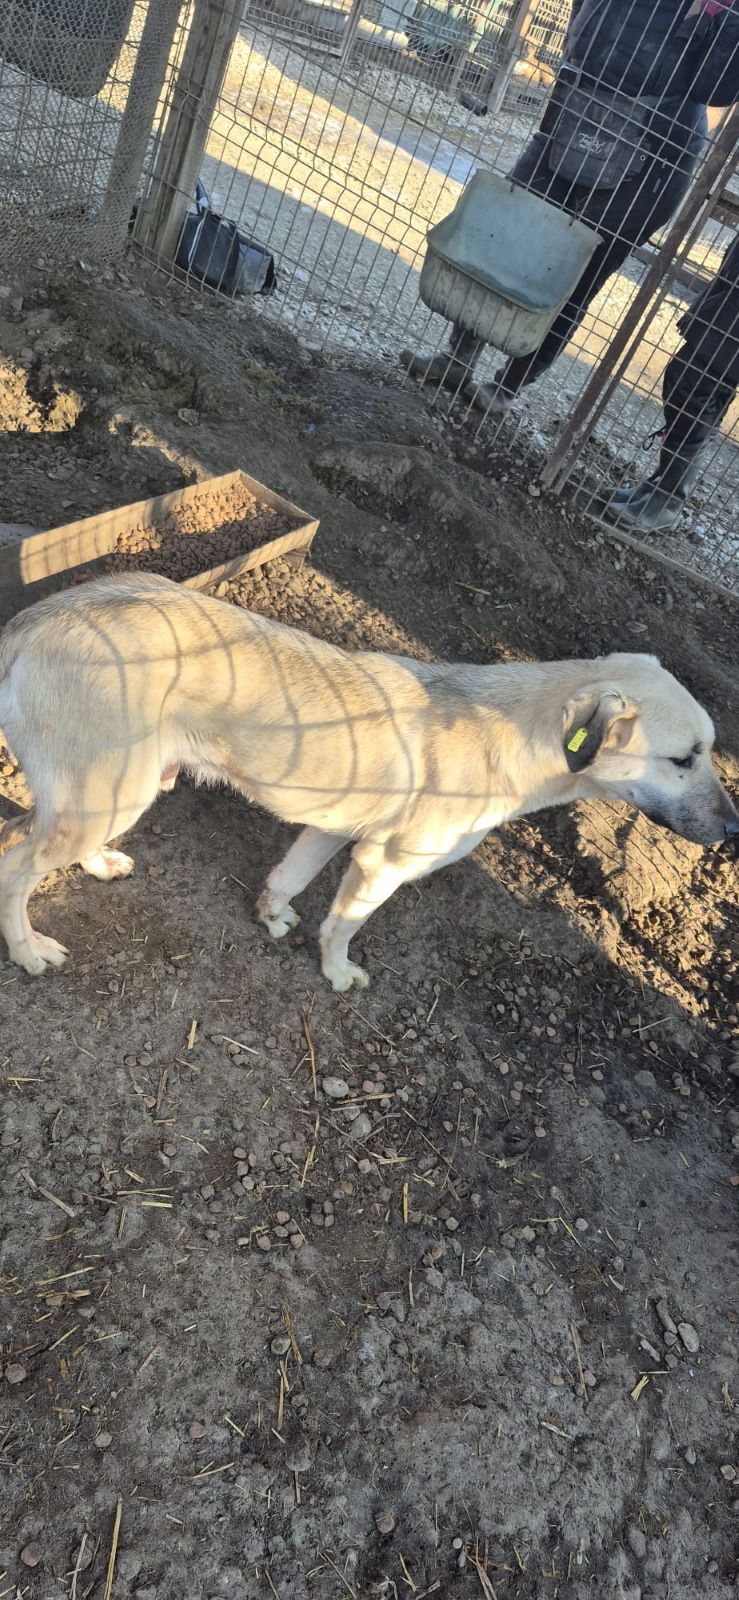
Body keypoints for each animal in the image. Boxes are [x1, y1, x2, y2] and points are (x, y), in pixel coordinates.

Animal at [0, 573, 736, 989]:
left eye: (709, 751)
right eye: (684, 758)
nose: (733, 829)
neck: (514, 732)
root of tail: (32, 620)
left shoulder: (330, 828)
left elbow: (288, 879)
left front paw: (271, 917)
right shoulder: (382, 864)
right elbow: (341, 926)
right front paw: (335, 974)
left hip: (114, 792)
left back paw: (99, 864)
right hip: (109, 794)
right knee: (15, 865)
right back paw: (29, 951)